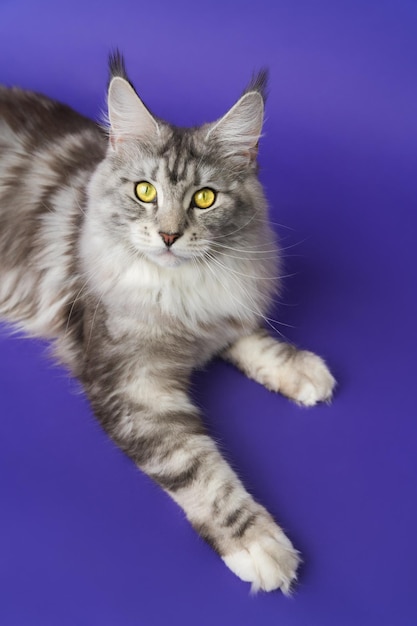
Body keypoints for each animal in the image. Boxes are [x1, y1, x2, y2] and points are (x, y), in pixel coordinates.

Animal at [0, 52, 334, 588]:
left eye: (204, 198)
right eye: (144, 191)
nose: (170, 236)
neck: (179, 290)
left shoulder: (223, 314)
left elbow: (253, 340)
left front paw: (300, 370)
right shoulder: (132, 384)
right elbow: (199, 469)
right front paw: (258, 543)